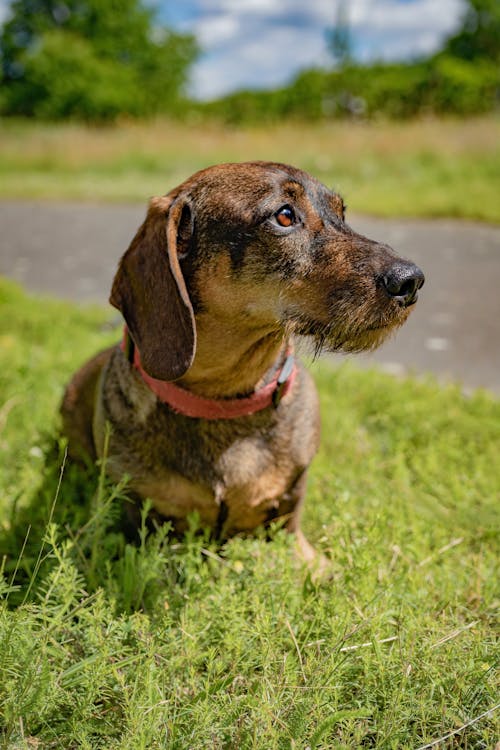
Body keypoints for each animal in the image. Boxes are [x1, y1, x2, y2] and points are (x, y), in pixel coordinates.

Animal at [60, 163, 424, 564]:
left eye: (341, 213)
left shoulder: (291, 497)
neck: (225, 403)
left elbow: (292, 532)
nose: (412, 281)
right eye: (284, 215)